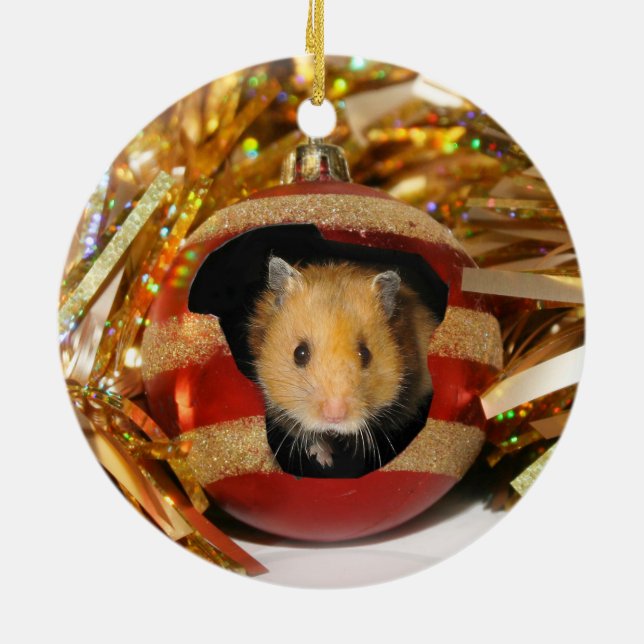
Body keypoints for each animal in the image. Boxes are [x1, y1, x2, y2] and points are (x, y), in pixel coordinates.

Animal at [247, 256, 438, 473]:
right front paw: (326, 461)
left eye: (366, 354)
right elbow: (311, 434)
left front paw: (351, 446)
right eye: (299, 353)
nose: (334, 417)